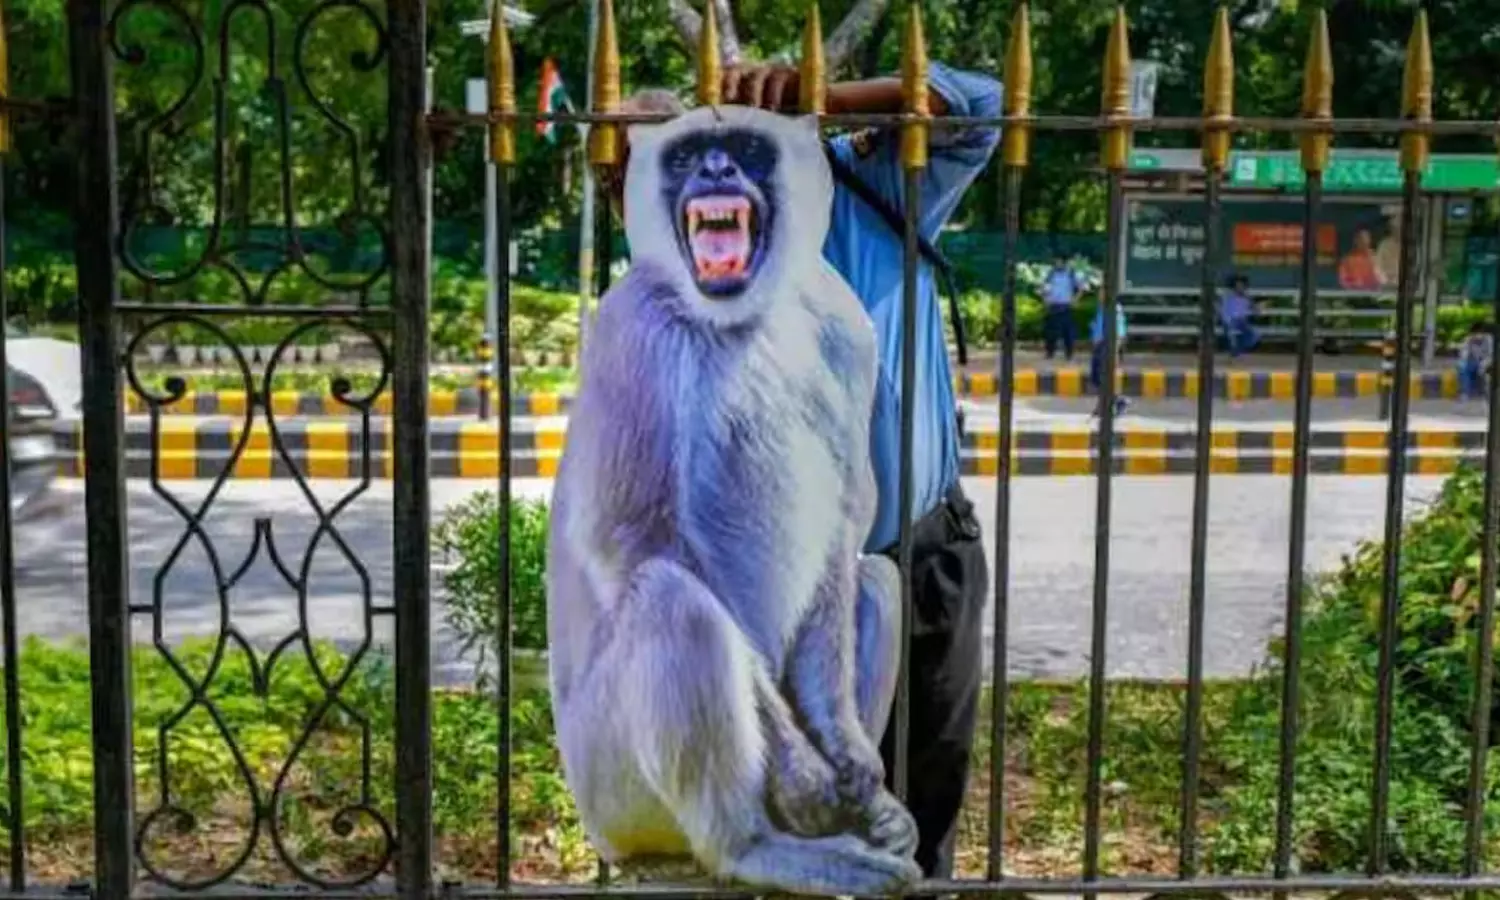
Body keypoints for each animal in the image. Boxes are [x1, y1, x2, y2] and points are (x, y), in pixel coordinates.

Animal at [544, 104, 921, 898]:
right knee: (670, 598)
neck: (735, 317)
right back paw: (753, 845)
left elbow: (845, 527)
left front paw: (849, 758)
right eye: (691, 156)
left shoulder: (844, 325)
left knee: (876, 577)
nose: (718, 168)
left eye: (745, 148)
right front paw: (807, 776)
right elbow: (631, 539)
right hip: (609, 785)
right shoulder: (631, 324)